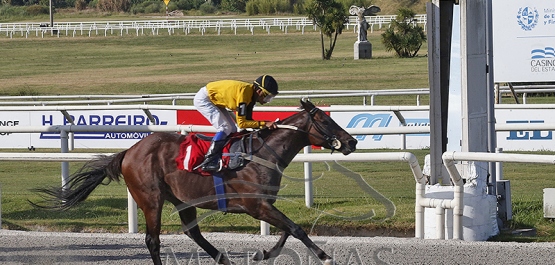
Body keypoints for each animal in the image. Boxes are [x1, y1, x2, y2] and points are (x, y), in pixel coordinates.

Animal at [32, 99, 358, 264]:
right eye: (326, 121)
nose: (352, 141)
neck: (262, 153)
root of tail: (129, 151)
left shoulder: (265, 205)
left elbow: (288, 230)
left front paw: (264, 252)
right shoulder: (257, 206)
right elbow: (296, 228)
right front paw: (324, 256)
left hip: (182, 199)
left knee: (193, 233)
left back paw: (223, 259)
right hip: (150, 198)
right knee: (153, 240)